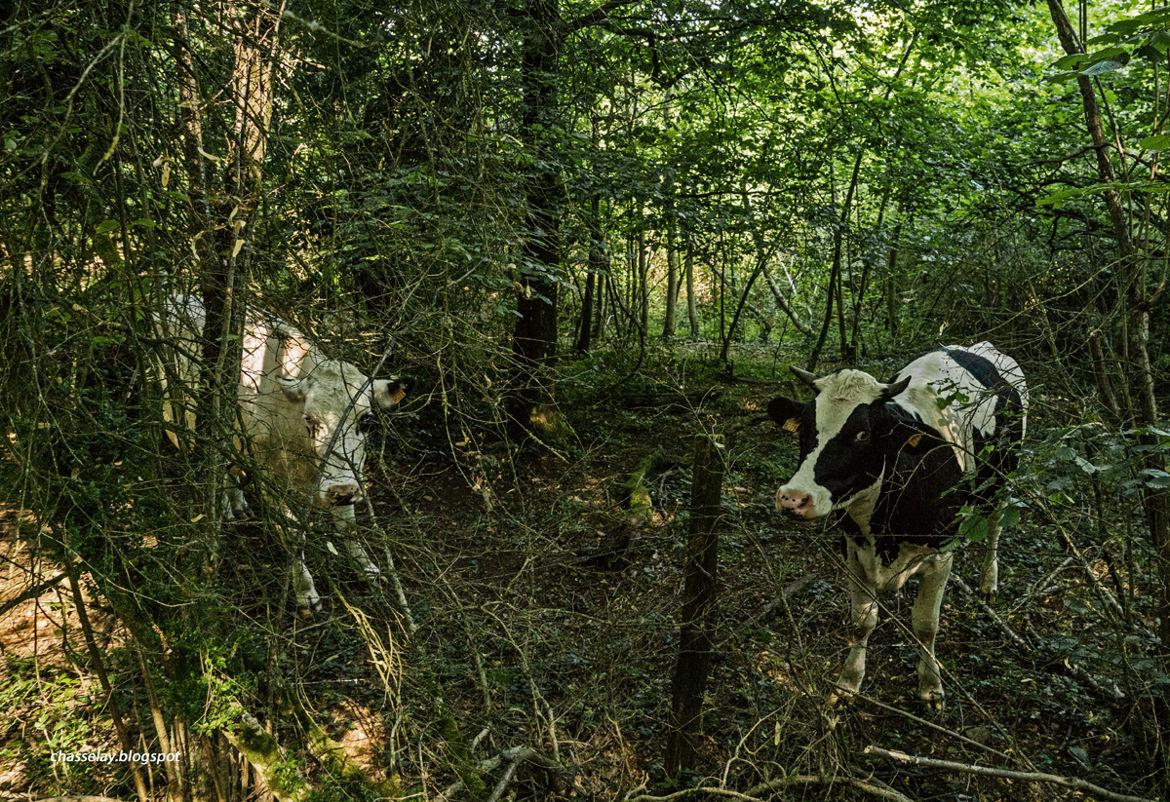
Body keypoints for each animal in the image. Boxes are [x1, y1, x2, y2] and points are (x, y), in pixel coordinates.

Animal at [155, 292, 404, 608]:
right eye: (310, 419)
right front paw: (305, 592)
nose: (341, 492)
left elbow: (349, 526)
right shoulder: (269, 478)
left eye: (367, 419)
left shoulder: (349, 473)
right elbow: (293, 535)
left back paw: (237, 504)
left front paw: (368, 569)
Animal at [772, 341, 1029, 702]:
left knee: (995, 526)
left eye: (862, 434)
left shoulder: (940, 555)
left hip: (1006, 476)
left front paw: (931, 685)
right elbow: (861, 621)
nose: (793, 497)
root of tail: (979, 345)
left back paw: (989, 582)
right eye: (806, 429)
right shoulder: (853, 549)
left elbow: (926, 625)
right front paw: (849, 680)